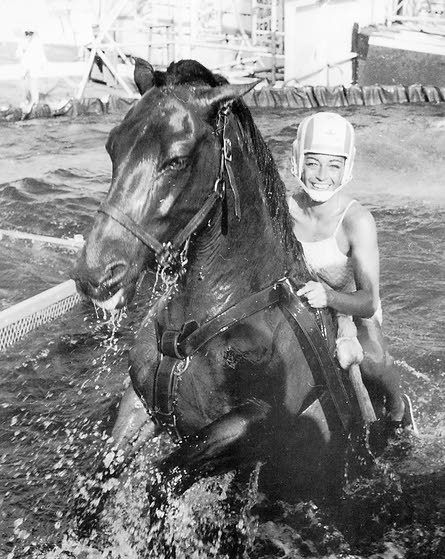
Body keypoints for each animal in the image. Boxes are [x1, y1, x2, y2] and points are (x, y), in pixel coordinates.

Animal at [71, 58, 360, 544]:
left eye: (178, 159)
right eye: (113, 147)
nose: (96, 275)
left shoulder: (258, 425)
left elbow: (163, 481)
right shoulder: (141, 402)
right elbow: (96, 485)